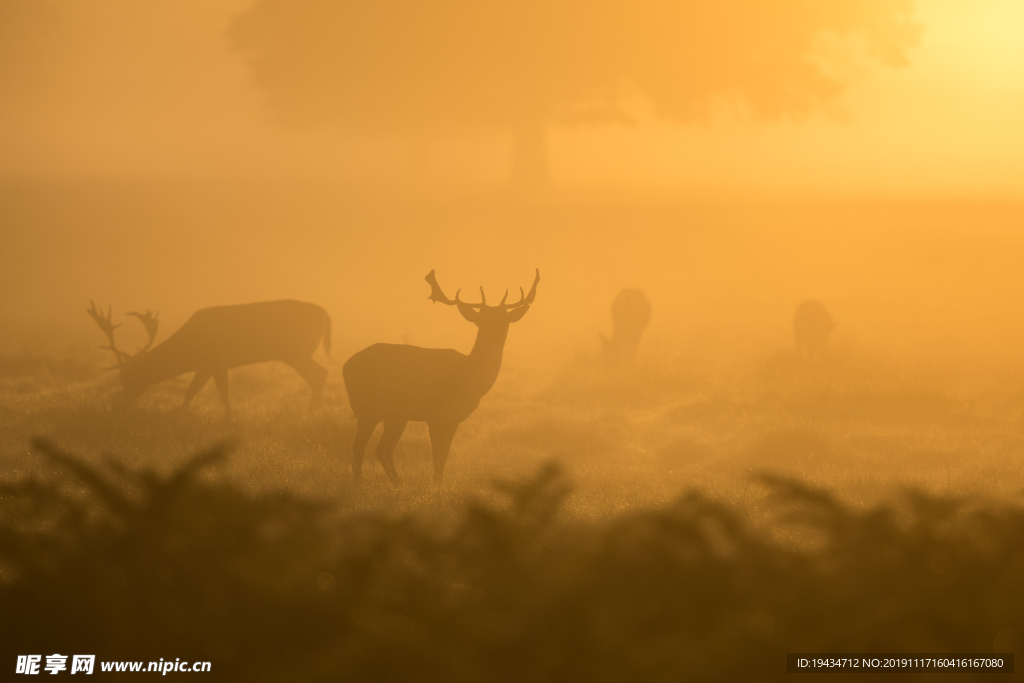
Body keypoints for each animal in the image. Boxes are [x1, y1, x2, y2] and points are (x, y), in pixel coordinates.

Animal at [87, 299, 331, 417]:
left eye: (126, 377)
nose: (120, 404)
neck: (189, 350)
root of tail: (326, 314)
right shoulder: (204, 366)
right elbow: (191, 391)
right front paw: (179, 412)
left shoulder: (217, 360)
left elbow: (222, 391)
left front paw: (229, 417)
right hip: (296, 353)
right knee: (320, 373)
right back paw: (316, 411)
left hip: (296, 351)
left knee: (319, 373)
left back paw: (312, 412)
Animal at [342, 266, 540, 481]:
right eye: (480, 320)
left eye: (505, 319)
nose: (495, 332)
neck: (468, 378)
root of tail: (345, 366)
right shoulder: (435, 414)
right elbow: (437, 457)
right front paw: (436, 484)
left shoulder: (453, 419)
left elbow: (443, 457)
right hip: (365, 407)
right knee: (359, 447)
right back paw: (360, 482)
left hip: (394, 414)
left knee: (382, 449)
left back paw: (397, 483)